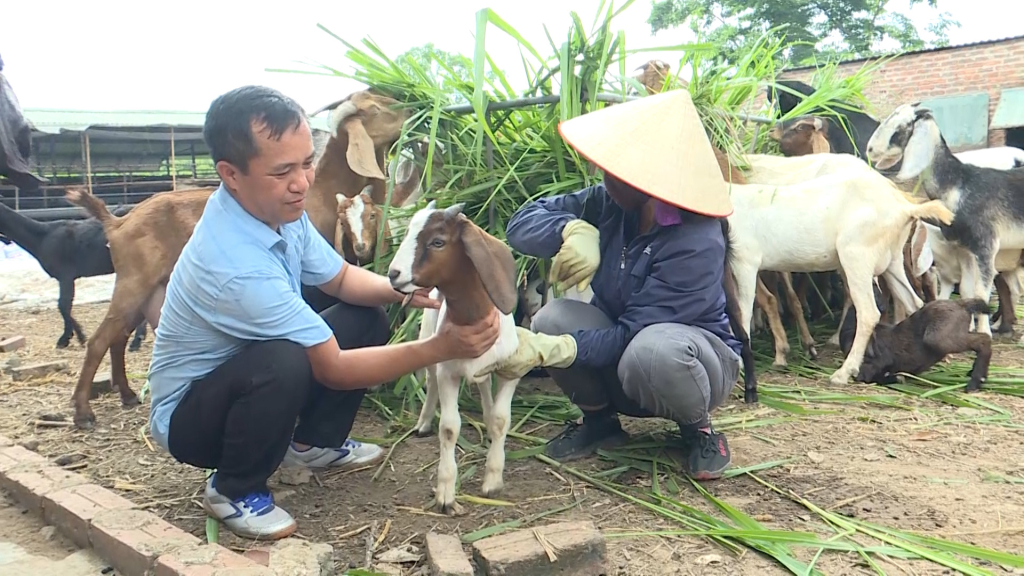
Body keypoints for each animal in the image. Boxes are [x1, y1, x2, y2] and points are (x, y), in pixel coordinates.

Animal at [729, 170, 950, 385]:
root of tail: (903, 206)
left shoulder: (745, 262)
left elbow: (742, 313)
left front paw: (740, 364)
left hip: (857, 257)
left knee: (869, 313)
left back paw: (844, 373)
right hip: (892, 260)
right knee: (914, 302)